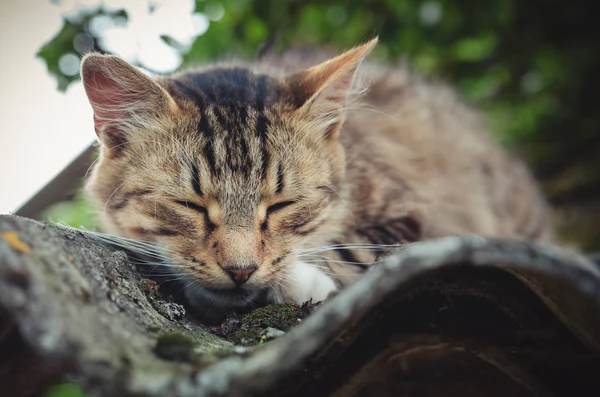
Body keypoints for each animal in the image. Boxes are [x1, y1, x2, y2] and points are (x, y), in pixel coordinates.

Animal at [82, 36, 556, 312]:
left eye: (282, 205)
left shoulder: (420, 219)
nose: (241, 271)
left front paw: (296, 278)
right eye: (189, 205)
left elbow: (350, 251)